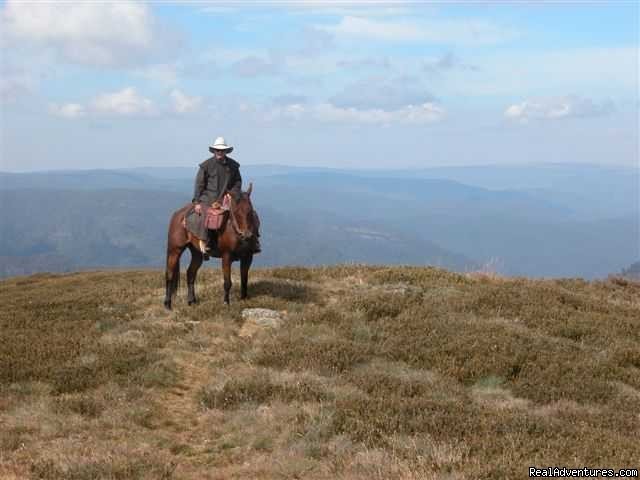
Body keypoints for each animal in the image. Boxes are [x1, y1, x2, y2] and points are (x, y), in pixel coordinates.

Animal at [164, 182, 258, 310]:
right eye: (236, 212)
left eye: (250, 211)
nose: (247, 235)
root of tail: (177, 214)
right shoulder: (226, 256)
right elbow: (227, 282)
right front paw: (226, 302)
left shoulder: (248, 257)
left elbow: (244, 279)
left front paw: (244, 299)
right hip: (175, 250)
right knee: (170, 274)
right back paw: (168, 304)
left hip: (197, 253)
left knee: (190, 273)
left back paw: (191, 301)